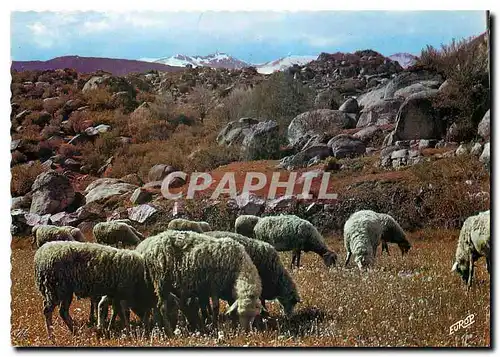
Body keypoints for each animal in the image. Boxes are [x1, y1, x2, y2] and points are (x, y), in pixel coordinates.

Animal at [135, 229, 264, 332]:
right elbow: (215, 308)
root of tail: (152, 245)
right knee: (162, 307)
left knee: (156, 306)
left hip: (157, 283)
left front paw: (232, 325)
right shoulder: (214, 285)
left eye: (253, 316)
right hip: (162, 280)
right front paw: (215, 326)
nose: (246, 332)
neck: (239, 266)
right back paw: (169, 332)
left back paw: (160, 329)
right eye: (241, 313)